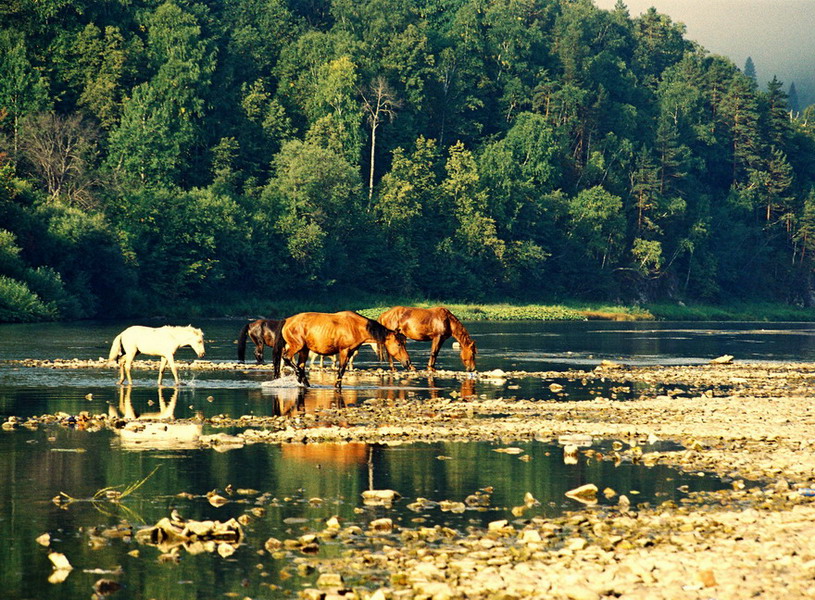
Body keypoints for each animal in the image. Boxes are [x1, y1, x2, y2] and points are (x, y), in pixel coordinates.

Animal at [274, 312, 414, 386]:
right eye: (399, 344)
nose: (408, 362)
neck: (356, 327)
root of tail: (287, 321)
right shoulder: (344, 351)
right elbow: (341, 370)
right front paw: (337, 386)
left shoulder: (350, 352)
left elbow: (342, 370)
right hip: (296, 346)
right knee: (287, 359)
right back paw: (299, 375)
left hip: (304, 350)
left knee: (301, 366)